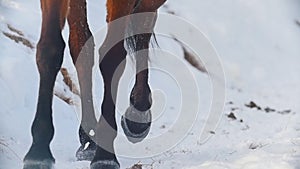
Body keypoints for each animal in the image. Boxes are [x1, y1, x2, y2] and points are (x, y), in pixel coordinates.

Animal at [24, 0, 166, 169]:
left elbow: (112, 57)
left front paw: (105, 157)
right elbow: (50, 49)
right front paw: (39, 151)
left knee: (143, 21)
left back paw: (137, 114)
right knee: (81, 46)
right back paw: (89, 139)